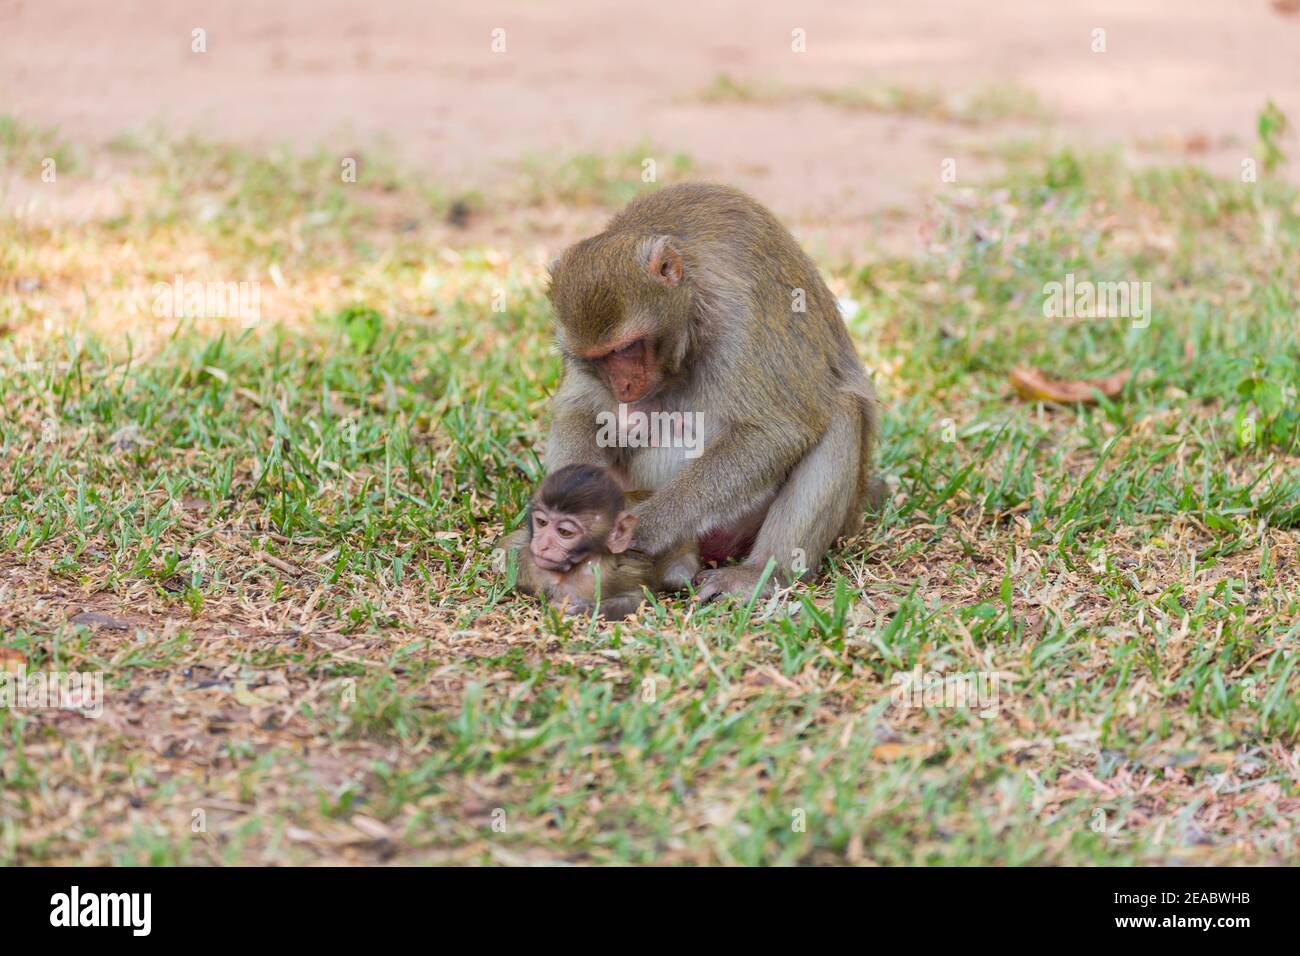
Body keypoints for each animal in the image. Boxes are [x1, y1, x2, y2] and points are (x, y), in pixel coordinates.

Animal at [502, 464, 699, 618]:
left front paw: (577, 609)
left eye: (564, 532)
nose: (542, 545)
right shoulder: (529, 563)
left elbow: (636, 599)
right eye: (542, 522)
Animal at [542, 182, 881, 603]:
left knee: (841, 412)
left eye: (627, 347)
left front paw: (647, 526)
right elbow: (580, 411)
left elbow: (775, 431)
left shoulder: (736, 317)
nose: (623, 386)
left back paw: (763, 572)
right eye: (598, 358)